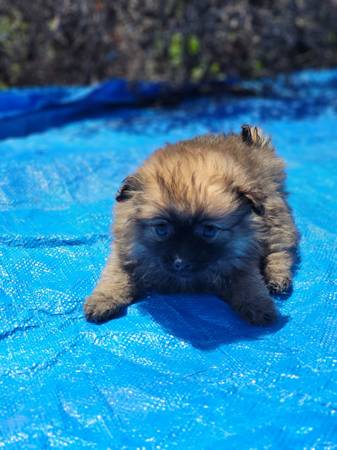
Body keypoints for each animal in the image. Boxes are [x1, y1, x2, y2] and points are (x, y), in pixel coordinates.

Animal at [83, 125, 296, 326]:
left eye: (209, 230)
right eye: (161, 229)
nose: (181, 263)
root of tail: (255, 145)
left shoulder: (242, 258)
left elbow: (248, 283)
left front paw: (259, 304)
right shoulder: (124, 252)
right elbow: (114, 276)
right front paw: (102, 299)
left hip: (276, 218)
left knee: (280, 250)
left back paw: (277, 278)